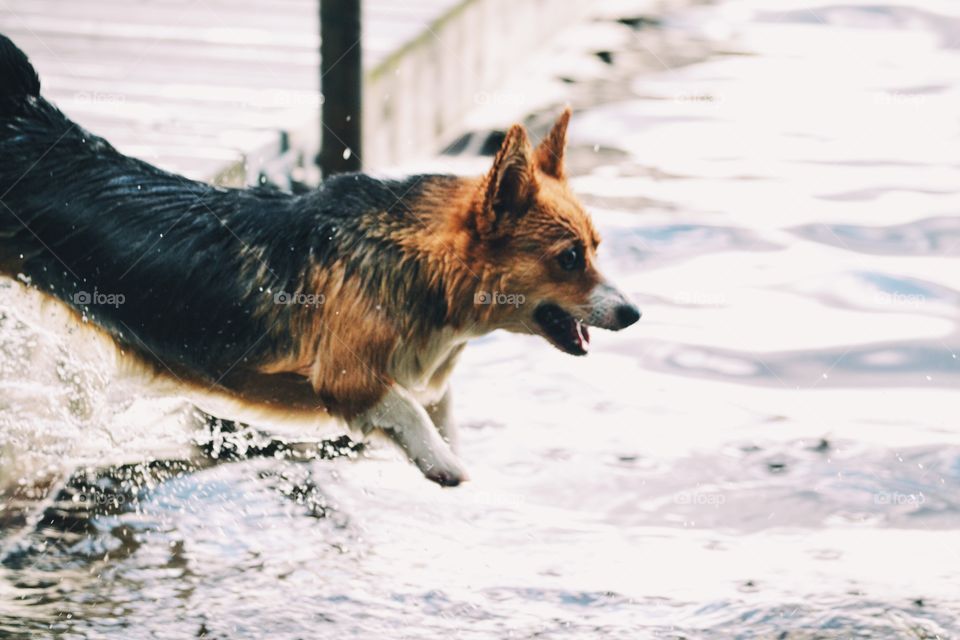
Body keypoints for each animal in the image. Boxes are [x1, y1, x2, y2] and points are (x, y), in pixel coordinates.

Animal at [1, 35, 644, 484]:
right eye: (568, 258)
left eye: (595, 250)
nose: (634, 314)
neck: (421, 266)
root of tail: (24, 116)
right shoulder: (347, 377)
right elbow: (408, 407)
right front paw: (441, 463)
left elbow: (439, 405)